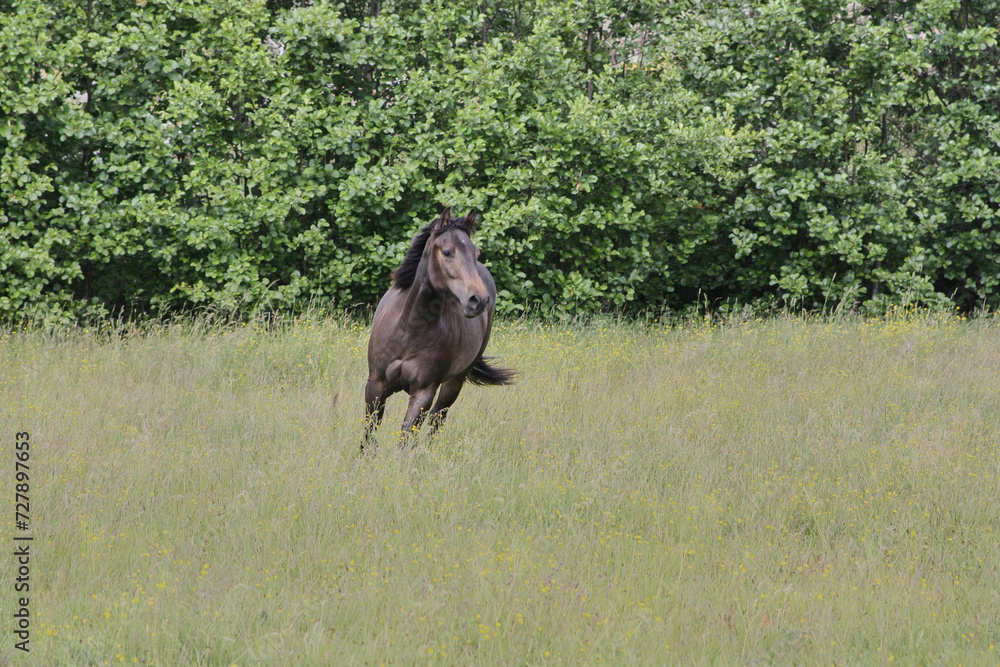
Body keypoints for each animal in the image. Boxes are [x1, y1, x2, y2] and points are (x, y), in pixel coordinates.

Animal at [363, 207, 516, 452]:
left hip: (454, 382)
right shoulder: (375, 384)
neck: (408, 330)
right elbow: (370, 432)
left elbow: (406, 436)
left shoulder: (423, 393)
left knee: (437, 418)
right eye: (447, 252)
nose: (479, 300)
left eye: (476, 253)